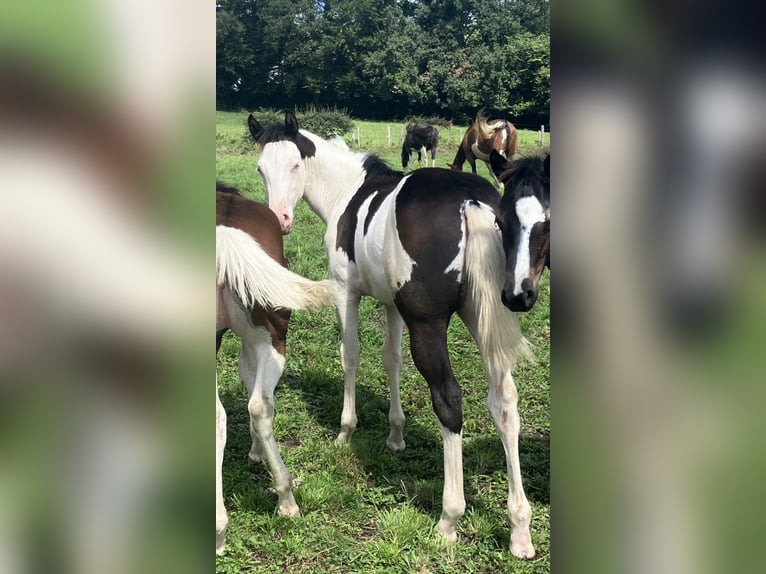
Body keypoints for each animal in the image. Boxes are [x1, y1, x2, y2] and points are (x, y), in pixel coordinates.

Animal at [247, 110, 543, 559]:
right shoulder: (392, 305)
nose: (279, 220)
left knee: (449, 399)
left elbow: (350, 356)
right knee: (505, 404)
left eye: (296, 165)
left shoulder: (345, 293)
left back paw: (449, 518)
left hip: (429, 327)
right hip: (483, 319)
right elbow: (392, 360)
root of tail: (470, 201)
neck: (348, 192)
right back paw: (520, 529)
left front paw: (346, 431)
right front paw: (396, 434)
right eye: (262, 168)